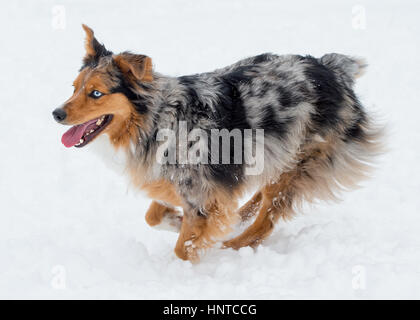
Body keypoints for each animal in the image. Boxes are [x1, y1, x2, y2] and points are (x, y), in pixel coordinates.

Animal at [52, 24, 384, 260]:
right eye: (74, 88)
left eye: (96, 93)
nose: (56, 113)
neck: (158, 119)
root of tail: (330, 69)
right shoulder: (186, 188)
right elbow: (153, 215)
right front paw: (175, 221)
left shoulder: (203, 192)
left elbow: (183, 247)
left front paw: (197, 248)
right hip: (275, 154)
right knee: (261, 195)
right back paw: (240, 217)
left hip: (303, 158)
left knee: (266, 220)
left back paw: (233, 246)